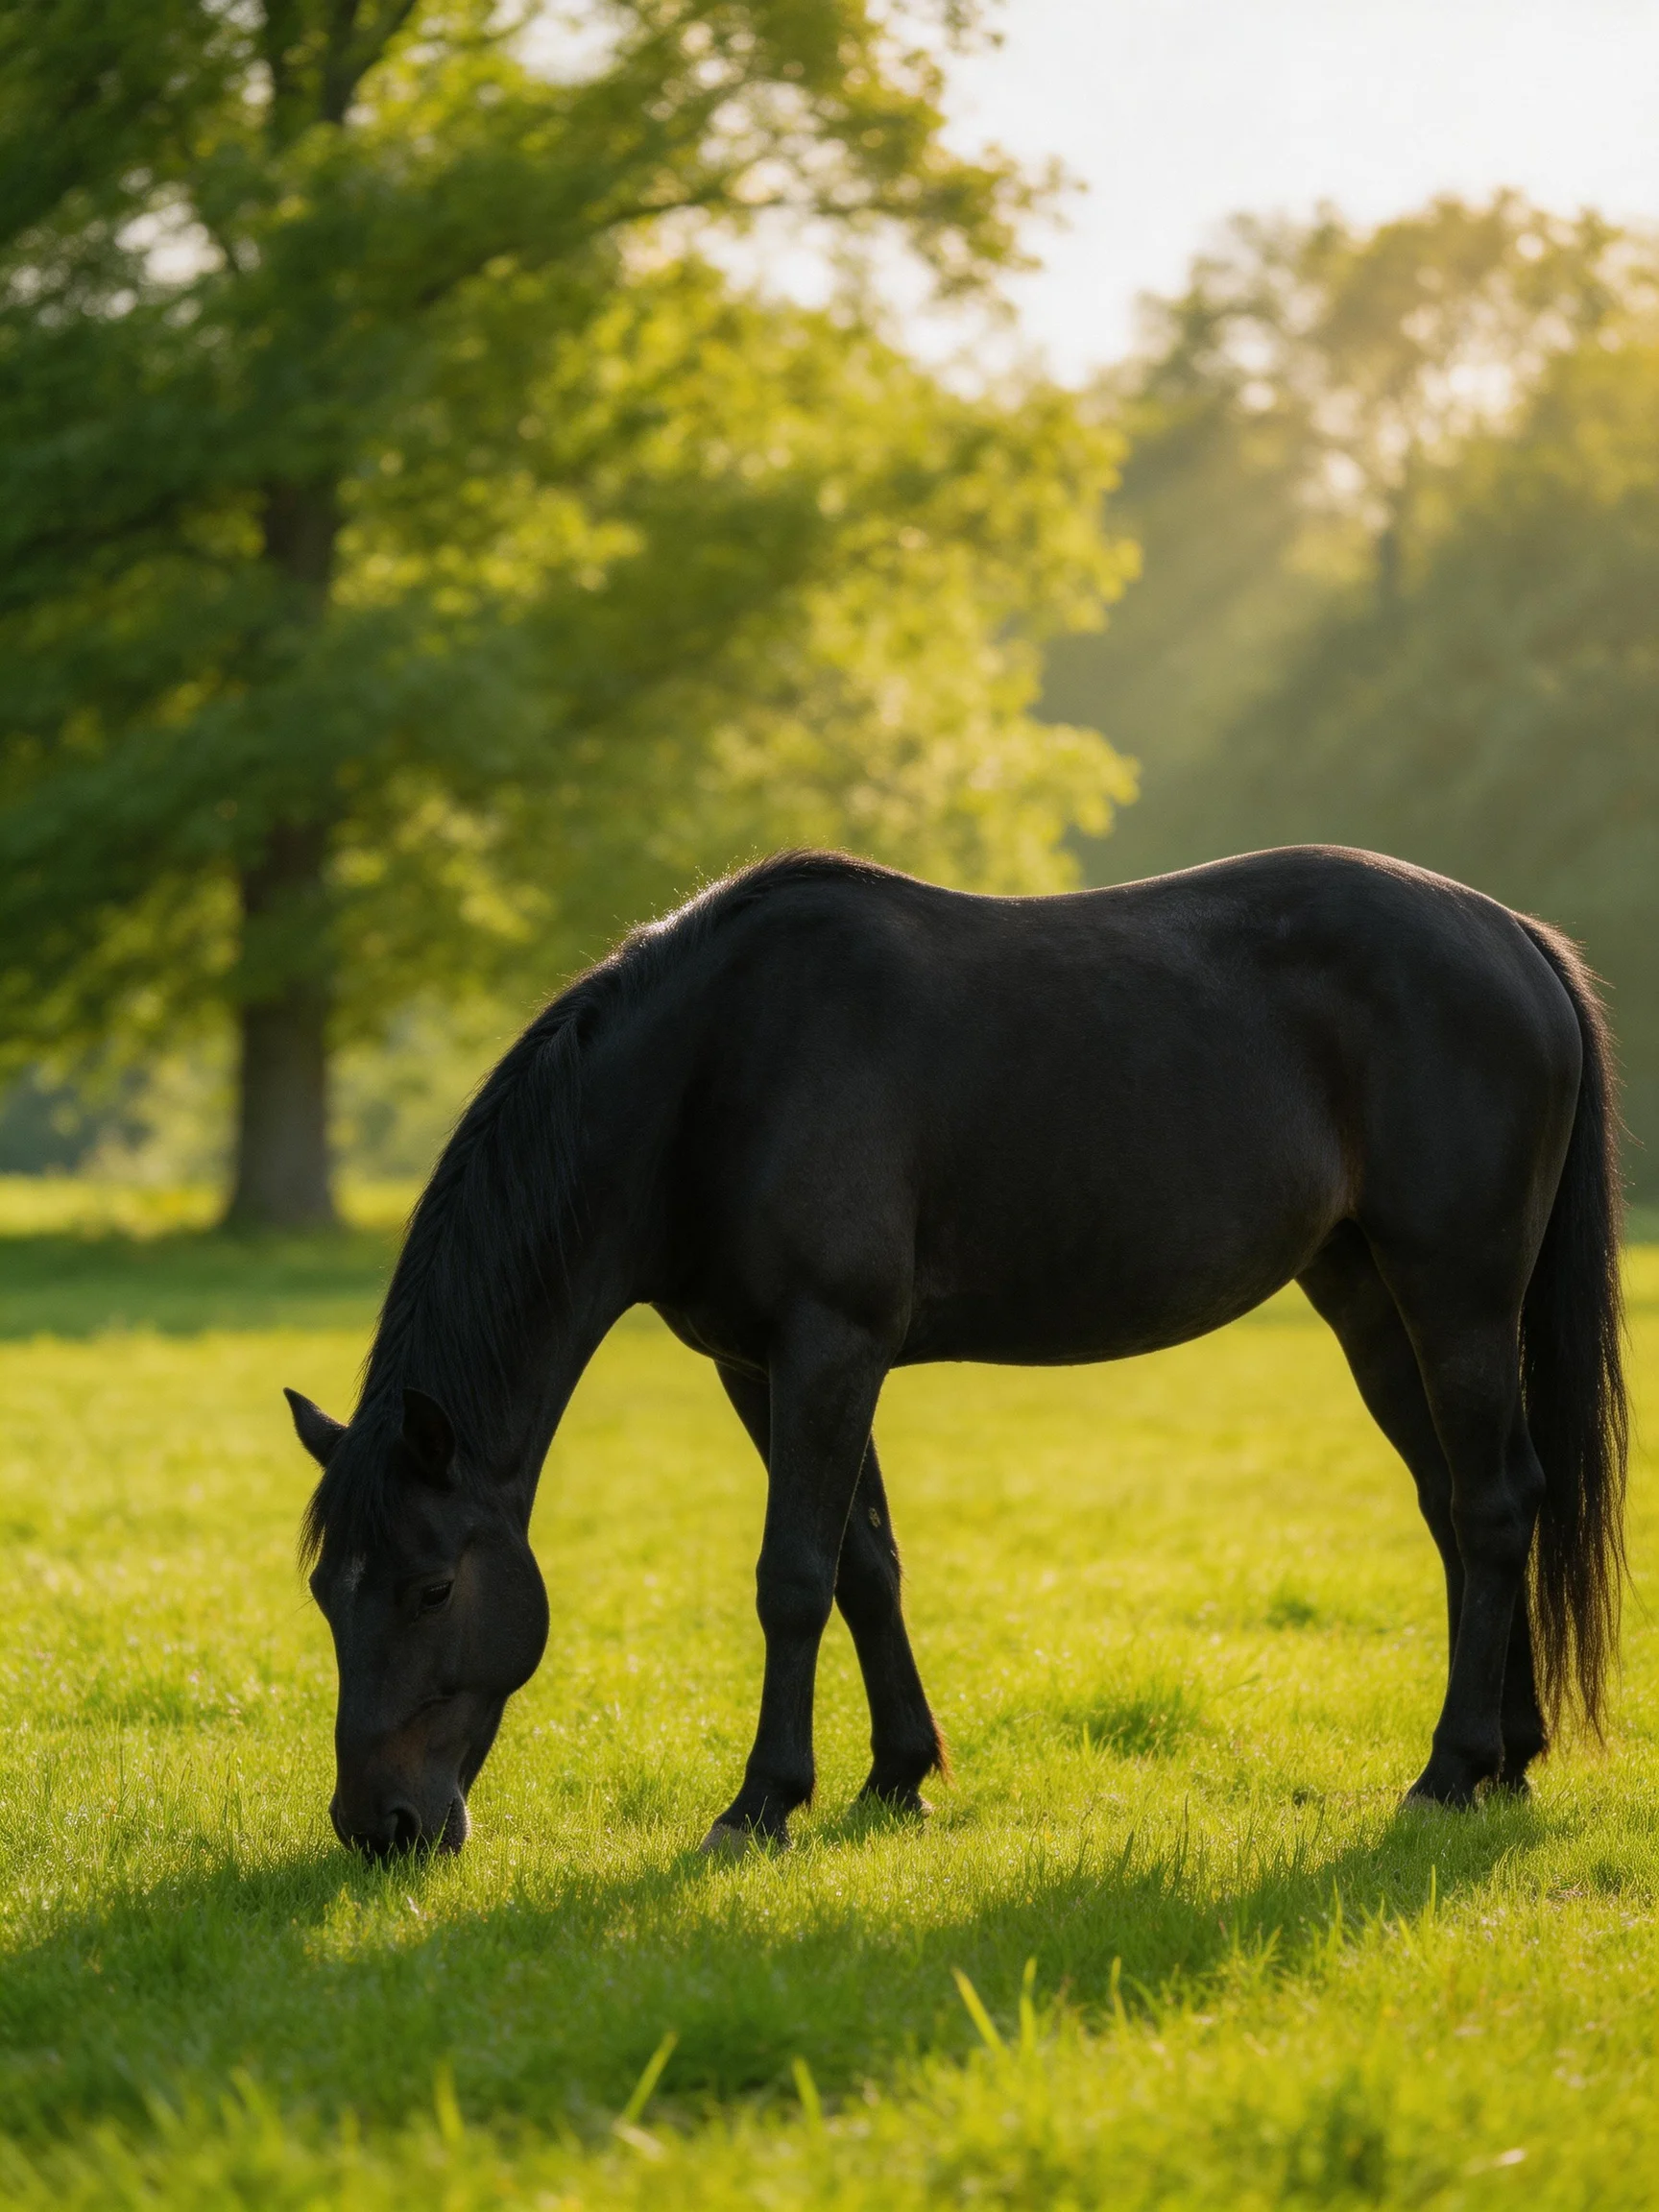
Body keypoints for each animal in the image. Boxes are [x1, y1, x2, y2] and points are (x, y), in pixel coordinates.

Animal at [287, 846, 1626, 1859]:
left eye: (433, 1587)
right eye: (324, 1593)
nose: (379, 1826)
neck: (713, 1073)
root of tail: (1515, 938)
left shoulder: (829, 1345)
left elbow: (794, 1575)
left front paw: (761, 1803)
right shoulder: (763, 1366)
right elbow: (866, 1563)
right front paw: (895, 1776)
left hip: (1456, 1294)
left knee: (1497, 1507)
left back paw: (1451, 1769)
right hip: (1369, 1300)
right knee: (1459, 1507)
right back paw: (1510, 1757)